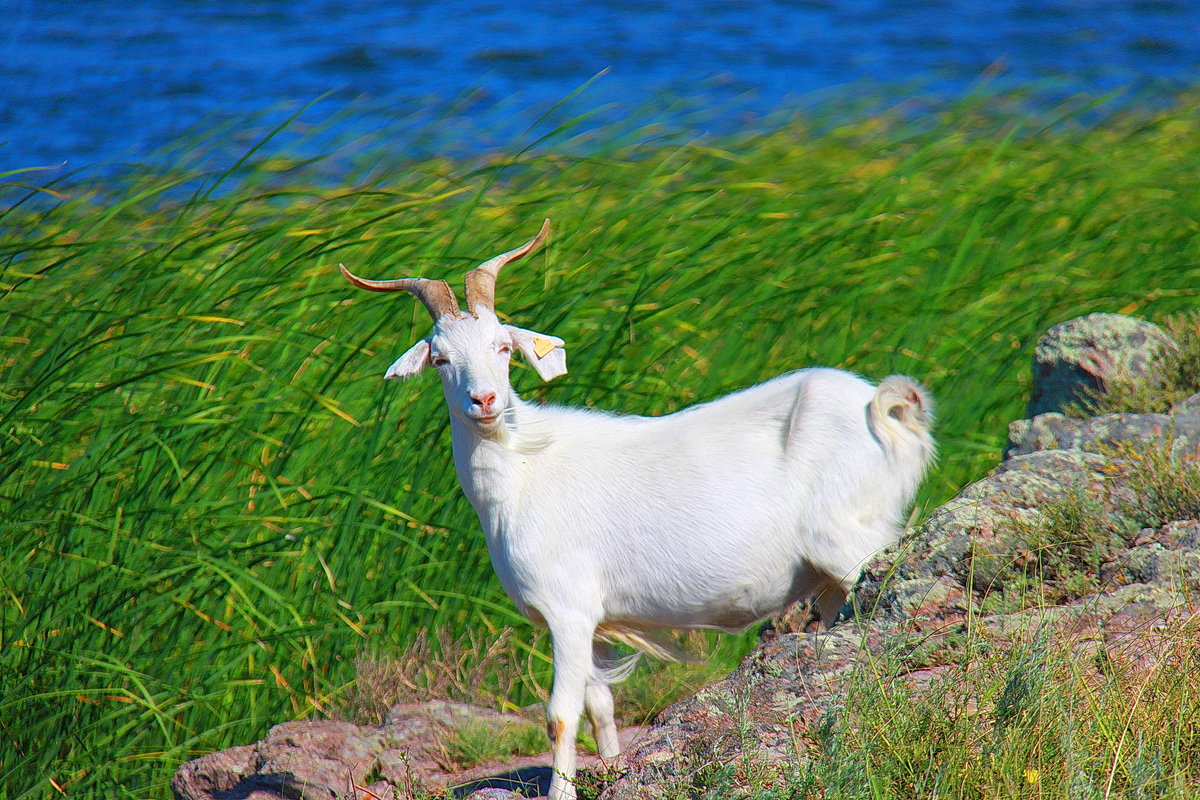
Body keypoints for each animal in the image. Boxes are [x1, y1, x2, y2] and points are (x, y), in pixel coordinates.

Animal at [340, 220, 936, 800]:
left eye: (503, 347)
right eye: (440, 358)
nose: (484, 401)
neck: (525, 472)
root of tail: (884, 410)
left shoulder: (567, 610)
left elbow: (560, 716)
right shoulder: (597, 621)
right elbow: (600, 707)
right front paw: (610, 768)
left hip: (845, 534)